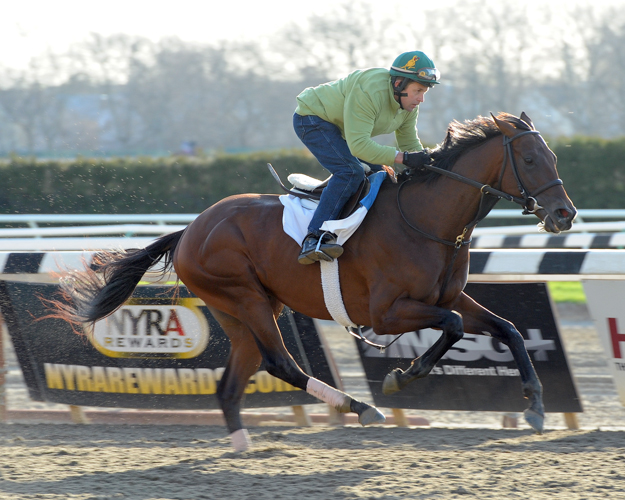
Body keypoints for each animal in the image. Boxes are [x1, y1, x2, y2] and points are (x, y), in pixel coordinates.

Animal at [48, 111, 576, 452]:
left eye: (553, 156)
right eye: (531, 160)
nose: (564, 214)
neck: (427, 219)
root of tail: (191, 229)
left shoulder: (450, 296)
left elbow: (506, 329)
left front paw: (534, 406)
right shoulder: (387, 311)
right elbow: (452, 327)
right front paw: (401, 377)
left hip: (239, 310)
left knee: (235, 381)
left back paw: (243, 443)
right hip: (245, 297)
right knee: (280, 362)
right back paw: (360, 408)